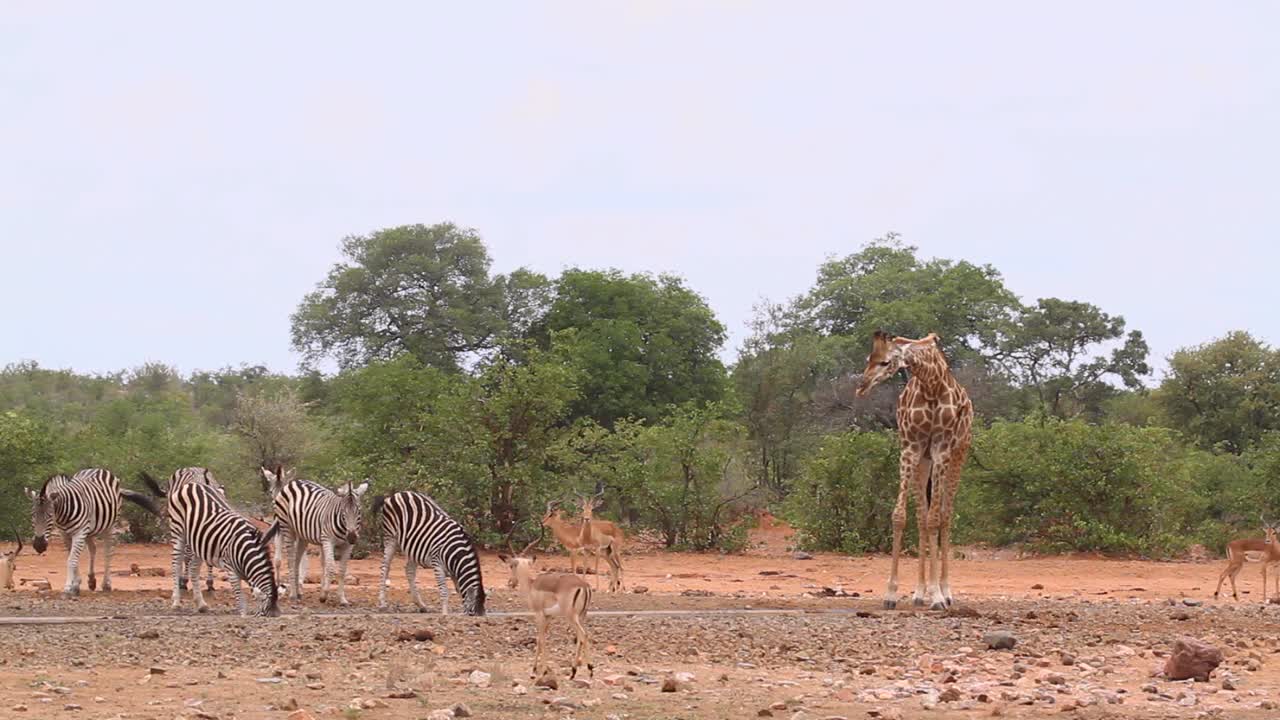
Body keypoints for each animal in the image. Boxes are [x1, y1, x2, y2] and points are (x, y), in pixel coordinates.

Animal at [23, 466, 160, 594]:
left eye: (50, 516)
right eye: (32, 515)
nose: (39, 546)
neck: (63, 514)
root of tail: (98, 469)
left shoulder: (79, 532)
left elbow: (71, 560)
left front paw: (69, 588)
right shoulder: (65, 534)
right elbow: (72, 558)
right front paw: (76, 584)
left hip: (110, 525)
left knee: (108, 552)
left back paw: (106, 584)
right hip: (89, 530)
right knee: (93, 549)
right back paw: (92, 580)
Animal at [160, 479, 280, 614]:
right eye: (265, 613)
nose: (276, 616)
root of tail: (192, 484)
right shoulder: (231, 569)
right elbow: (240, 597)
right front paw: (243, 614)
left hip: (199, 541)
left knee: (194, 569)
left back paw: (201, 604)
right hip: (178, 530)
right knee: (176, 564)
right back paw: (176, 602)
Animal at [261, 461, 368, 602]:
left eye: (359, 510)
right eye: (270, 491)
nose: (351, 537)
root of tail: (297, 481)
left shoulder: (347, 545)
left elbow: (340, 569)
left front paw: (341, 598)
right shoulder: (326, 540)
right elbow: (330, 567)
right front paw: (324, 594)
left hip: (305, 535)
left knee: (304, 560)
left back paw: (301, 590)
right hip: (291, 530)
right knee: (293, 559)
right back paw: (295, 593)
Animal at [855, 330, 972, 604]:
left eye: (885, 362)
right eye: (869, 358)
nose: (862, 386)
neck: (931, 382)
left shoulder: (942, 450)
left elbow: (935, 519)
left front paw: (938, 596)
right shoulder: (911, 448)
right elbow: (901, 516)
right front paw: (891, 593)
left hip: (958, 454)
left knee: (945, 515)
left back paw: (945, 592)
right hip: (923, 462)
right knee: (921, 516)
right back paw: (920, 593)